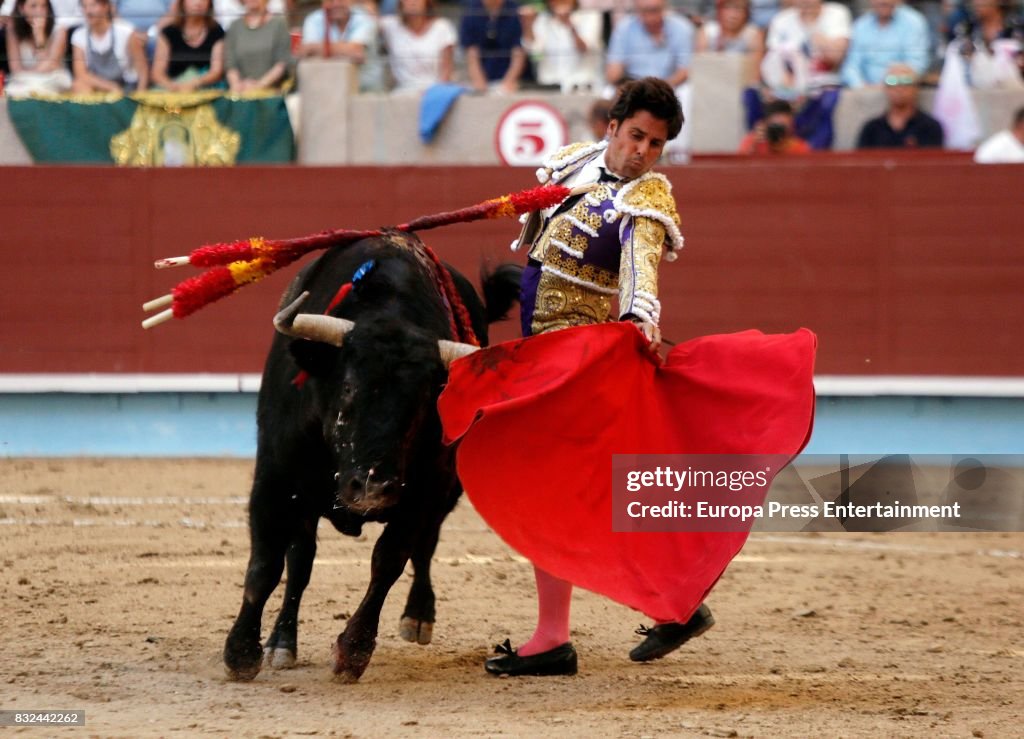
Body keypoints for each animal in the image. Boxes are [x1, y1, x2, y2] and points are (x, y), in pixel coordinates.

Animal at [224, 229, 520, 679]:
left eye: (423, 402)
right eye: (348, 387)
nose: (371, 488)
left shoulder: (425, 492)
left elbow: (389, 560)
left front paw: (353, 652)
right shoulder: (275, 477)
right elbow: (267, 563)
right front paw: (241, 652)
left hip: (444, 493)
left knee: (425, 546)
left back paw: (418, 617)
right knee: (301, 560)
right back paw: (281, 643)